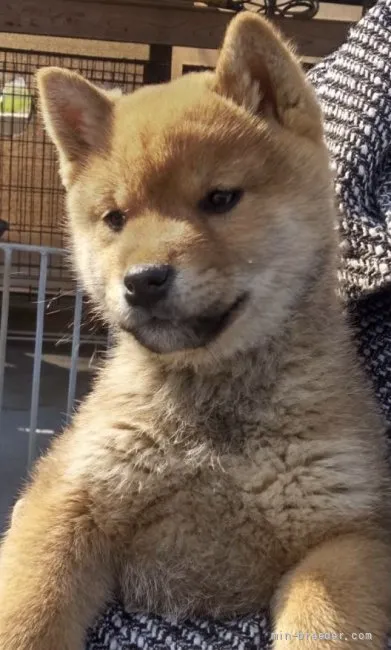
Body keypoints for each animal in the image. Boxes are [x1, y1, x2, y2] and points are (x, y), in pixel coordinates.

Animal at [0, 11, 391, 648]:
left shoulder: (346, 537)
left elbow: (324, 625)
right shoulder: (68, 498)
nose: (143, 280)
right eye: (115, 218)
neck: (213, 418)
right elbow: (27, 616)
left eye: (220, 198)